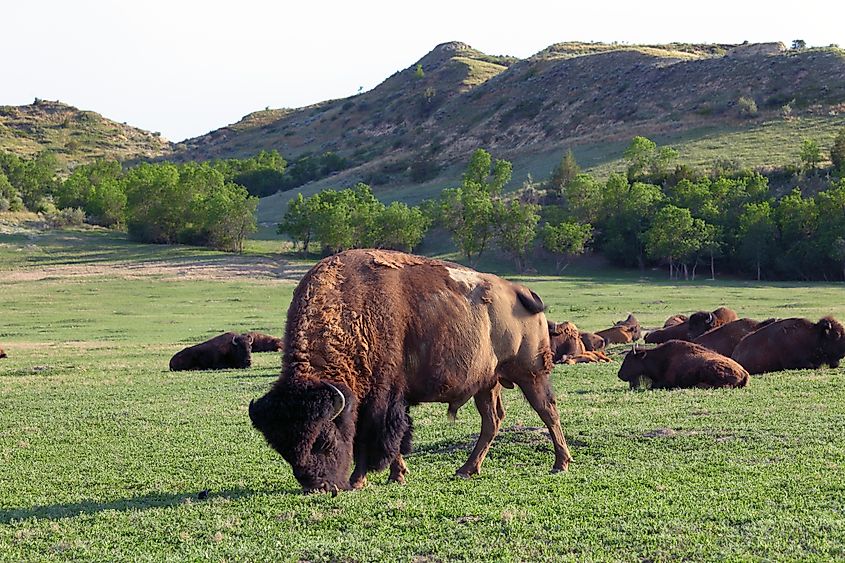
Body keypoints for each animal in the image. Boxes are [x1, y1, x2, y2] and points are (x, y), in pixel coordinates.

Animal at [246, 251, 572, 494]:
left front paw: (360, 480)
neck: (351, 312)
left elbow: (377, 438)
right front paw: (396, 475)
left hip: (531, 373)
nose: (318, 487)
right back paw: (467, 470)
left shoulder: (382, 399)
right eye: (284, 449)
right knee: (492, 421)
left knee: (547, 411)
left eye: (323, 440)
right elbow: (390, 441)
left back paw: (560, 463)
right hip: (487, 383)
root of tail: (520, 290)